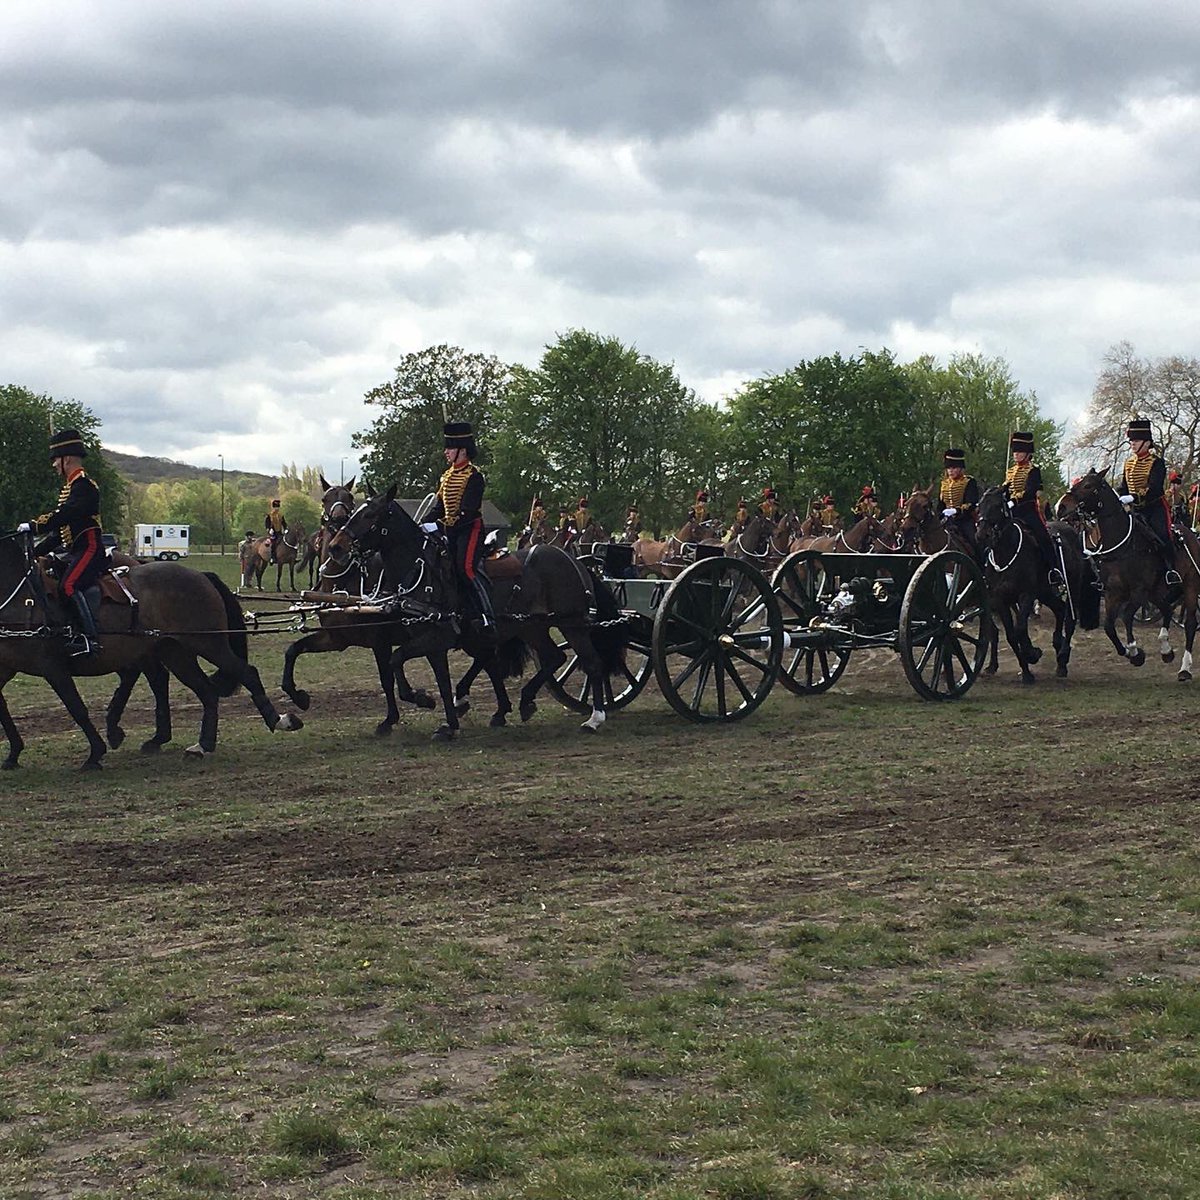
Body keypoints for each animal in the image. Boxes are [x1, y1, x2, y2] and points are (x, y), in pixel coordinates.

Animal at [0, 528, 300, 768]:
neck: (21, 597)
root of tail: (200, 575)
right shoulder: (7, 669)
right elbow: (3, 708)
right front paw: (13, 754)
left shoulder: (53, 668)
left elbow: (77, 708)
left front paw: (95, 753)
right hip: (175, 653)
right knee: (202, 690)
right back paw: (200, 745)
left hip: (207, 643)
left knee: (245, 672)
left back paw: (279, 720)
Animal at [324, 484, 633, 729]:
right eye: (356, 509)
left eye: (370, 514)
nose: (336, 547)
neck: (420, 570)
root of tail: (575, 561)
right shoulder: (430, 641)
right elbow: (432, 678)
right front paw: (444, 717)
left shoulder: (435, 637)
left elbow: (398, 662)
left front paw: (426, 703)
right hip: (533, 627)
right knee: (553, 658)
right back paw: (525, 701)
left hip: (572, 624)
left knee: (591, 663)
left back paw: (595, 717)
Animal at [1070, 465, 1200, 676]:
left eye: (1088, 485)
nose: (1063, 506)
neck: (1122, 545)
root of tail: (1191, 534)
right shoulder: (1113, 593)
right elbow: (1109, 627)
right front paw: (1130, 652)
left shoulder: (1138, 592)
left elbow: (1126, 616)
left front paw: (1134, 651)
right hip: (1156, 591)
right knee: (1166, 609)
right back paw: (1166, 650)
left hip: (1189, 585)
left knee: (1189, 623)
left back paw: (1185, 668)